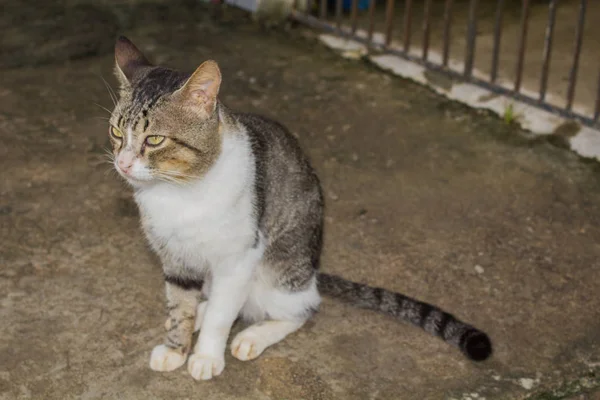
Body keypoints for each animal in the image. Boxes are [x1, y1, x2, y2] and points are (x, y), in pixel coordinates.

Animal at [109, 36, 492, 380]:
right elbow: (180, 306)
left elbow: (221, 316)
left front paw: (205, 356)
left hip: (276, 273)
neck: (178, 191)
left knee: (301, 309)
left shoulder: (239, 259)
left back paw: (252, 336)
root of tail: (313, 270)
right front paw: (177, 347)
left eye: (154, 140)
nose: (123, 163)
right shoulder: (175, 258)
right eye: (116, 132)